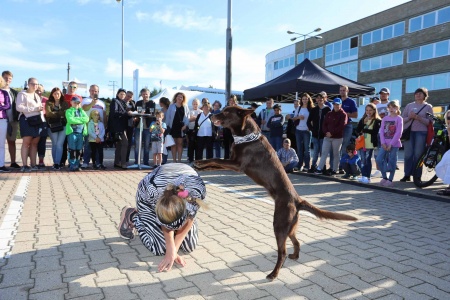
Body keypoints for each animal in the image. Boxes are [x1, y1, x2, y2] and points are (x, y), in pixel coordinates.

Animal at [195, 105, 356, 278]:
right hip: (290, 227)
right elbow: (214, 164)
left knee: (282, 252)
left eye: (225, 112)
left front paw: (200, 162)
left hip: (279, 224)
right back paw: (295, 256)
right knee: (296, 242)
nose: (211, 116)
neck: (247, 136)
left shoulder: (237, 165)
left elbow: (216, 159)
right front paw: (201, 166)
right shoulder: (232, 162)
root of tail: (297, 201)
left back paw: (273, 274)